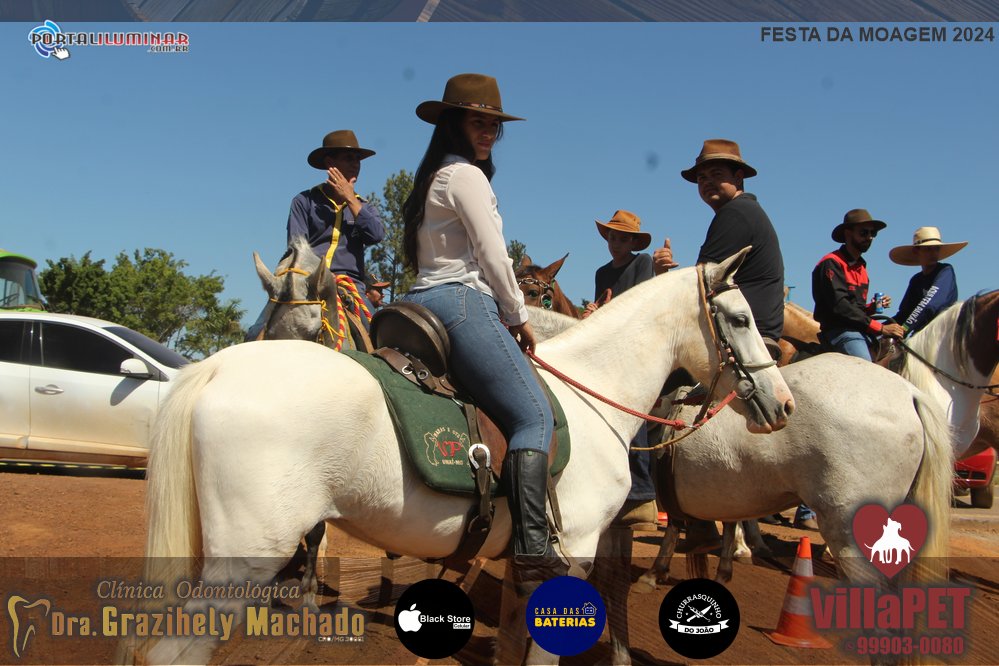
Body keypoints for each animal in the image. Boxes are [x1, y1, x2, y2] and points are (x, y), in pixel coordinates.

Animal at [128, 249, 794, 665]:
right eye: (739, 318)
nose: (783, 403)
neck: (591, 392)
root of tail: (219, 367)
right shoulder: (575, 552)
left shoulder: (528, 567)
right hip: (244, 562)